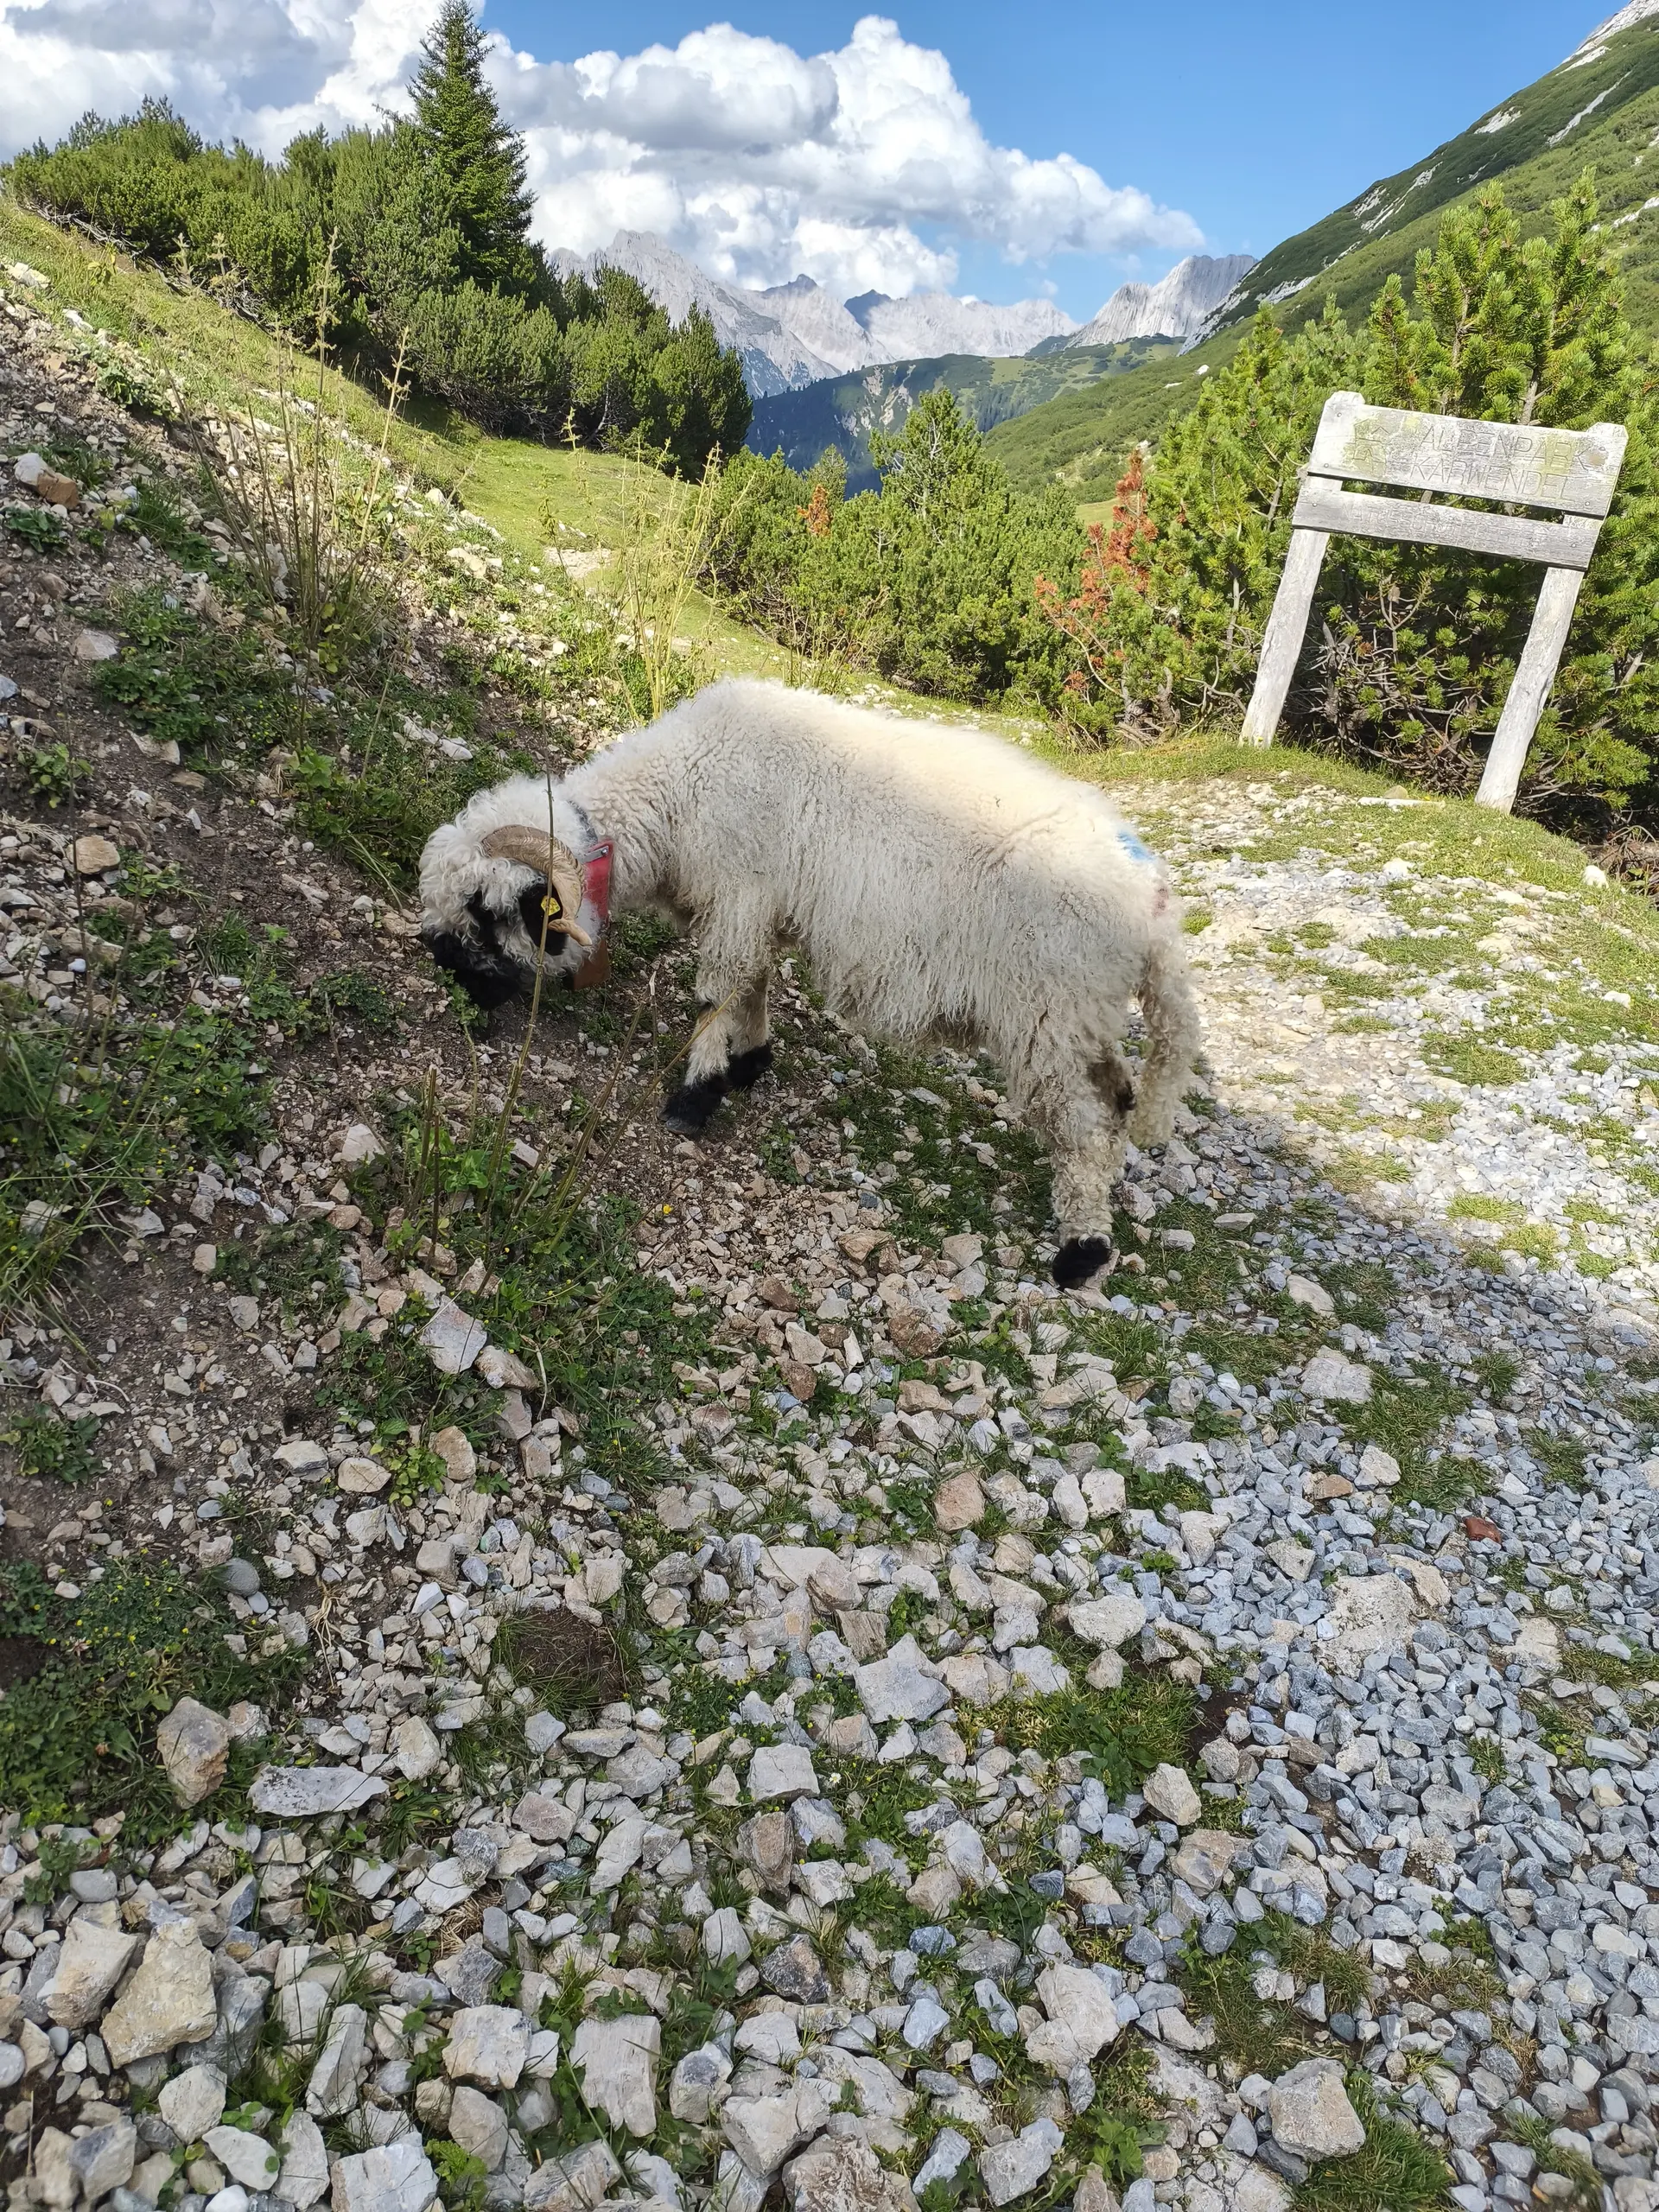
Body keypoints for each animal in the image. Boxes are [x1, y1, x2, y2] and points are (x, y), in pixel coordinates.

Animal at [417, 679, 1201, 1288]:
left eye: (488, 911)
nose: (443, 965)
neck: (679, 790)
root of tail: (1157, 905)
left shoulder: (738, 894)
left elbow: (718, 993)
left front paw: (695, 1095)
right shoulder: (759, 906)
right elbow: (755, 985)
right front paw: (750, 1060)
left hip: (1046, 1016)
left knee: (1088, 1128)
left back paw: (1082, 1251)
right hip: (1082, 1019)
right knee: (1116, 1096)